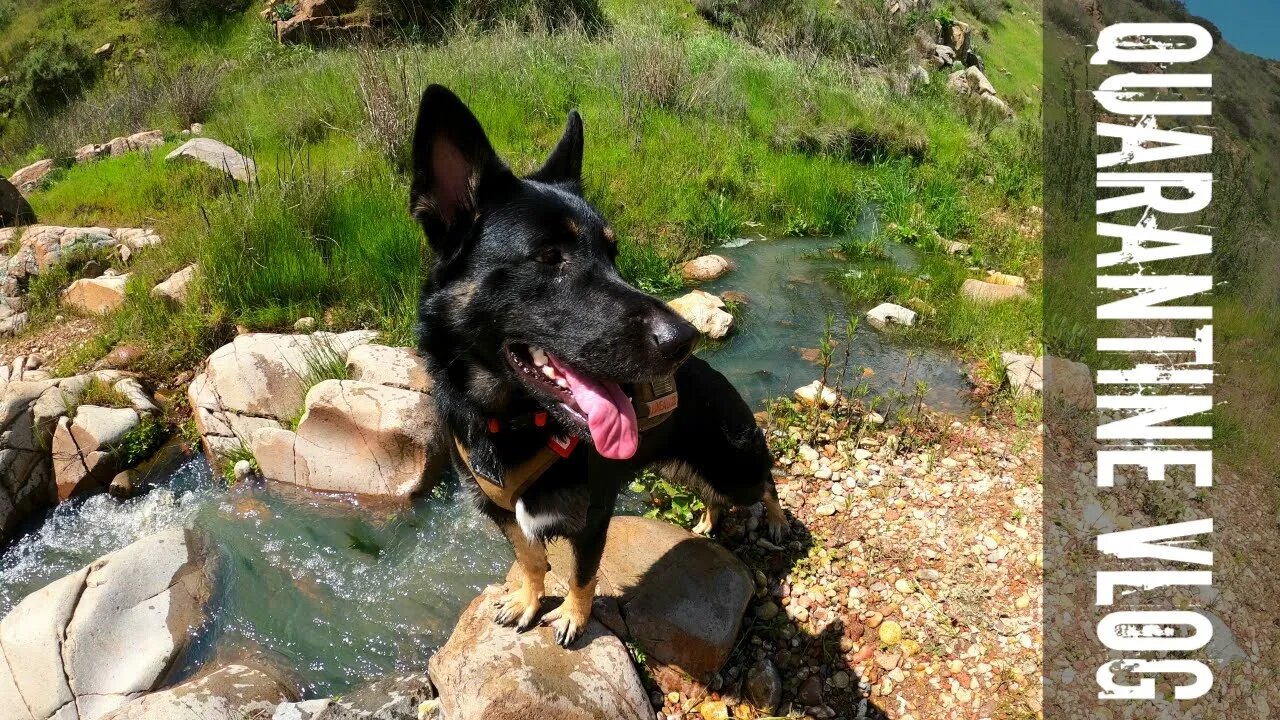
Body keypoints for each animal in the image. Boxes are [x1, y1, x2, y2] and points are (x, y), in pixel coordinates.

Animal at [414, 83, 783, 645]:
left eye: (614, 253)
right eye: (549, 256)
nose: (685, 339)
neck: (513, 421)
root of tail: (719, 379)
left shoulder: (592, 516)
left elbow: (581, 573)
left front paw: (572, 615)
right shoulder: (505, 513)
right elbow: (531, 560)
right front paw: (528, 600)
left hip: (731, 466)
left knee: (765, 478)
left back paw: (779, 519)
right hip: (684, 469)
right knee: (720, 495)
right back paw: (706, 522)